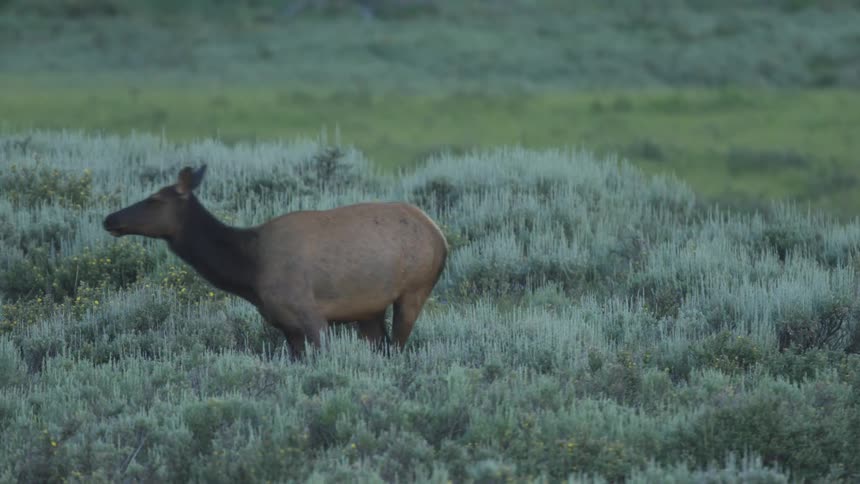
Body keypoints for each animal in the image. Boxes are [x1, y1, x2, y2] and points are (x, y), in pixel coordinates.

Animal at [103, 165, 448, 359]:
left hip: (414, 290)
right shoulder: (286, 326)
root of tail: (440, 236)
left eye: (154, 199)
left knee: (398, 347)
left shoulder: (311, 315)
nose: (110, 219)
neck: (249, 272)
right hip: (369, 310)